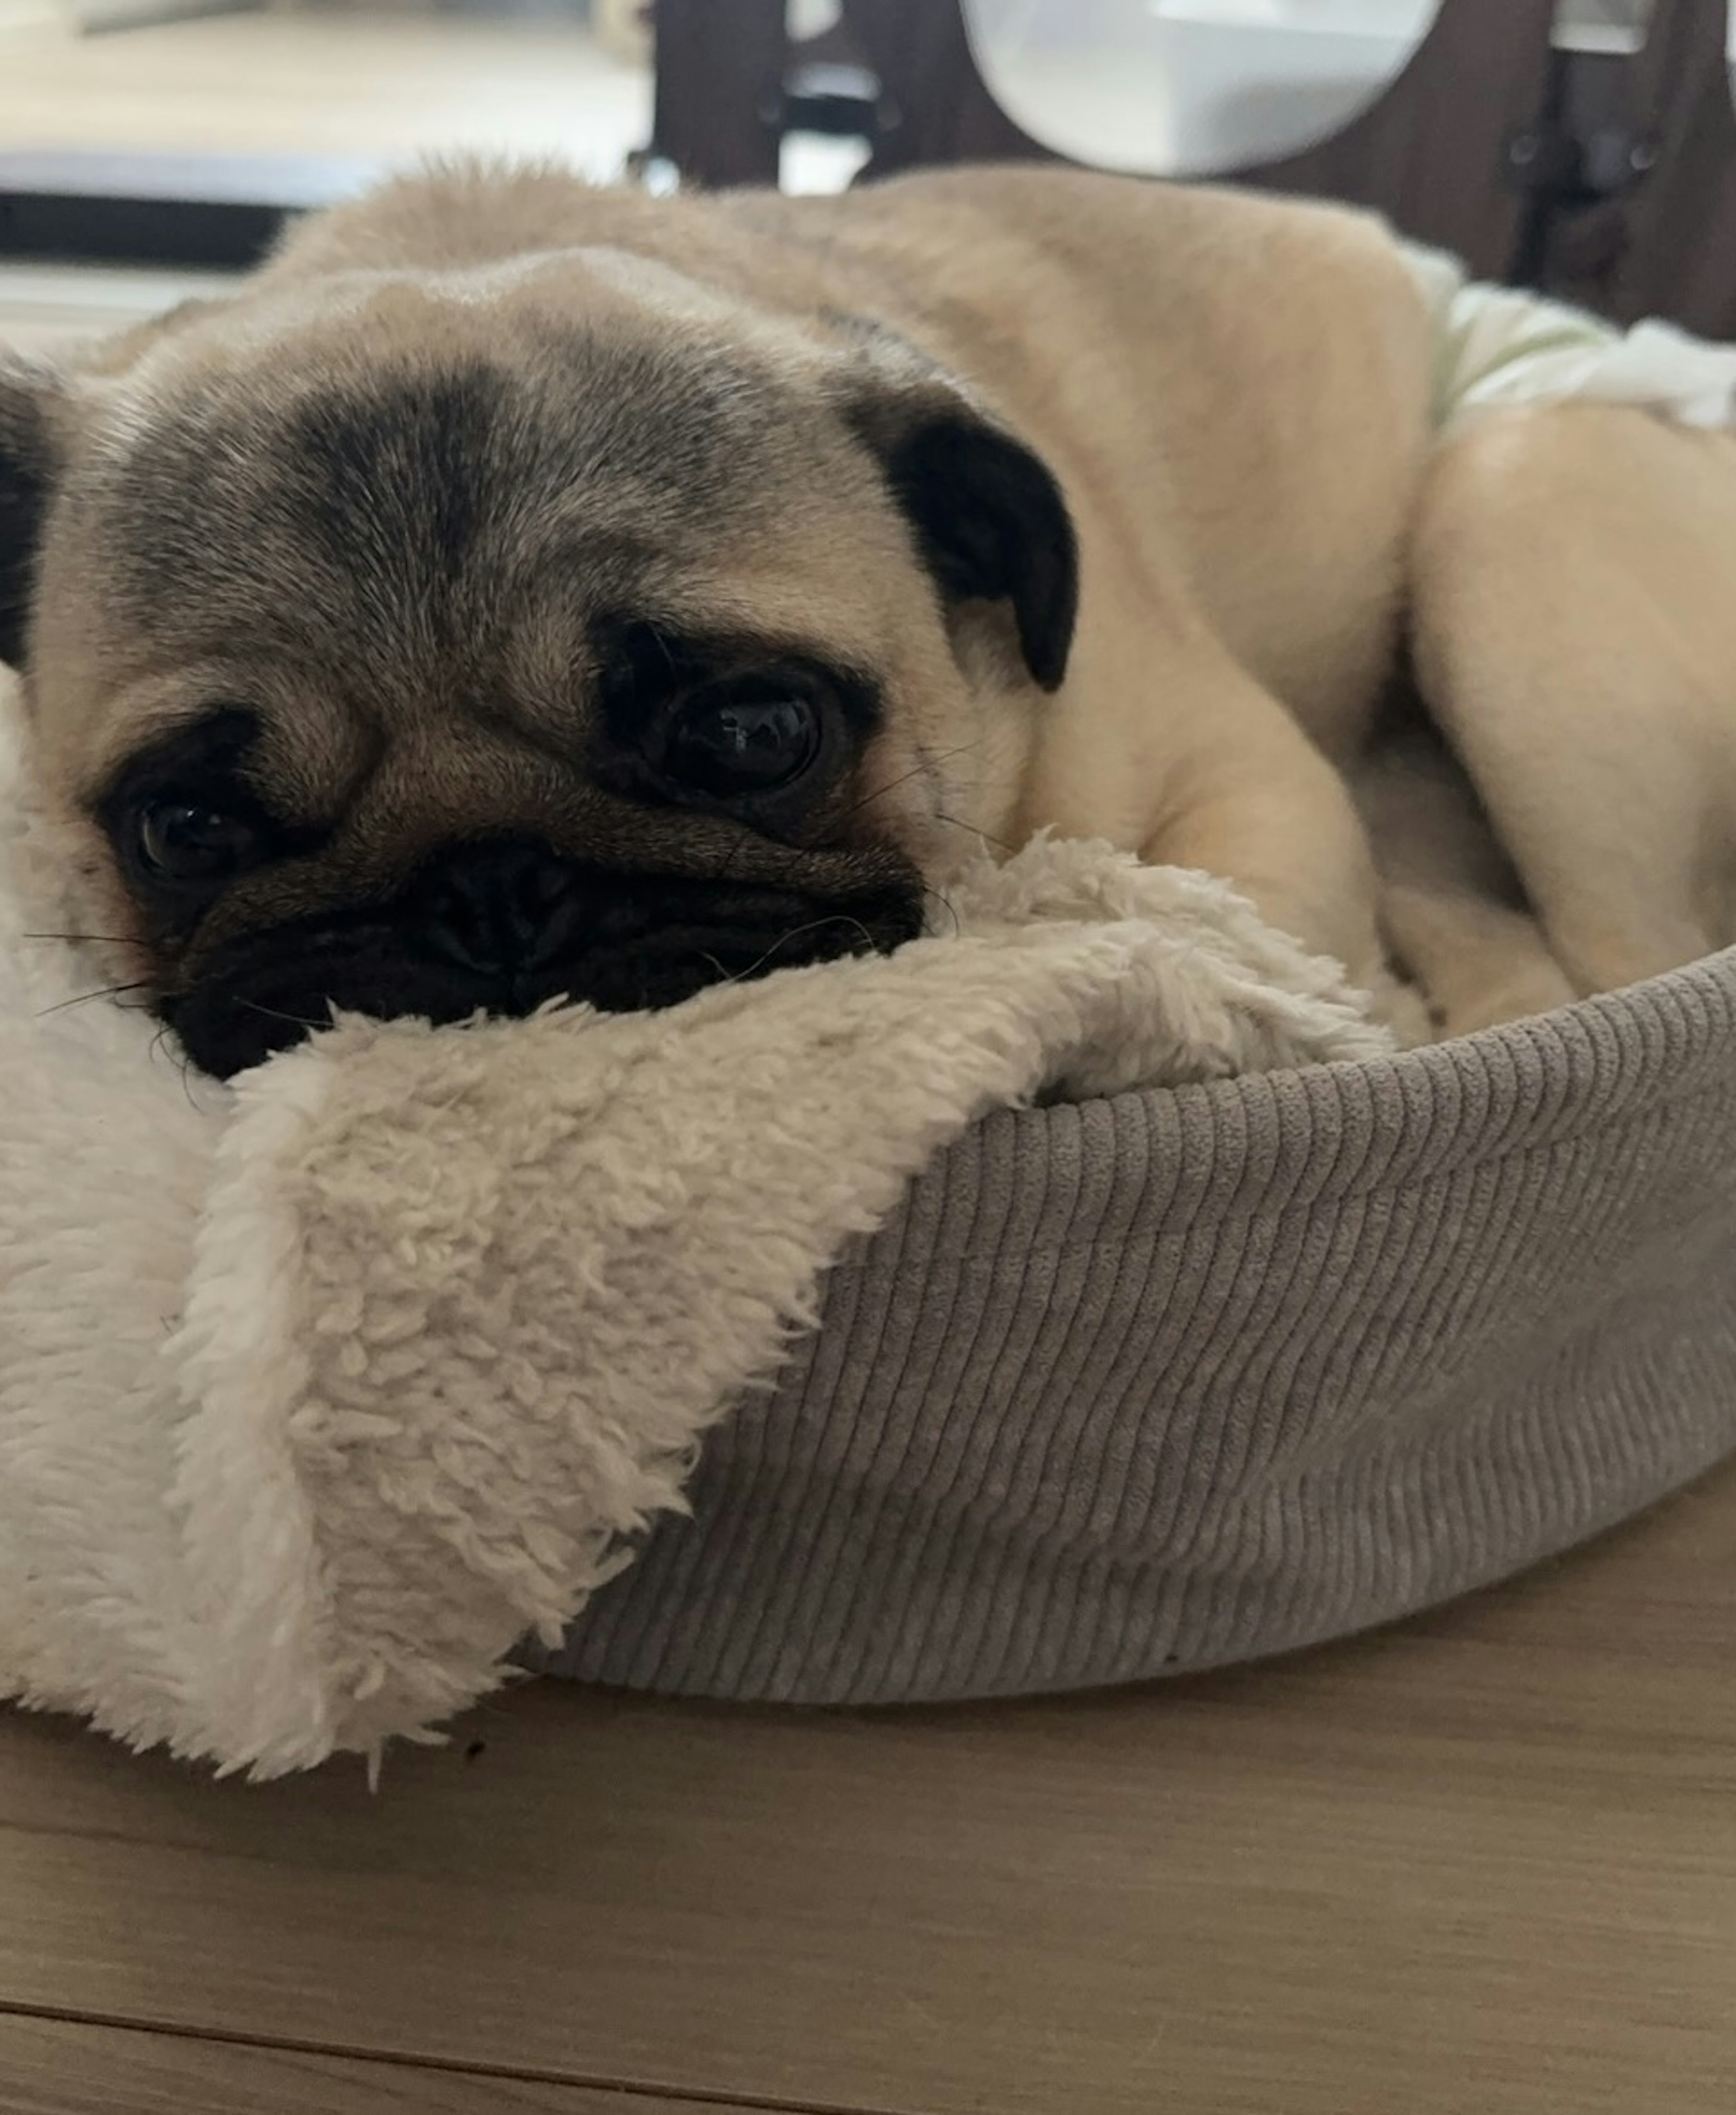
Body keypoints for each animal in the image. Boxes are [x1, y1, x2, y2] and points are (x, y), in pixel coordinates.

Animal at [6, 156, 1725, 1074]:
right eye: (185, 827)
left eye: (752, 731)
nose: (490, 890)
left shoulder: (1257, 786)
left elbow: (1234, 924)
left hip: (1504, 520)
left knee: (1633, 950)